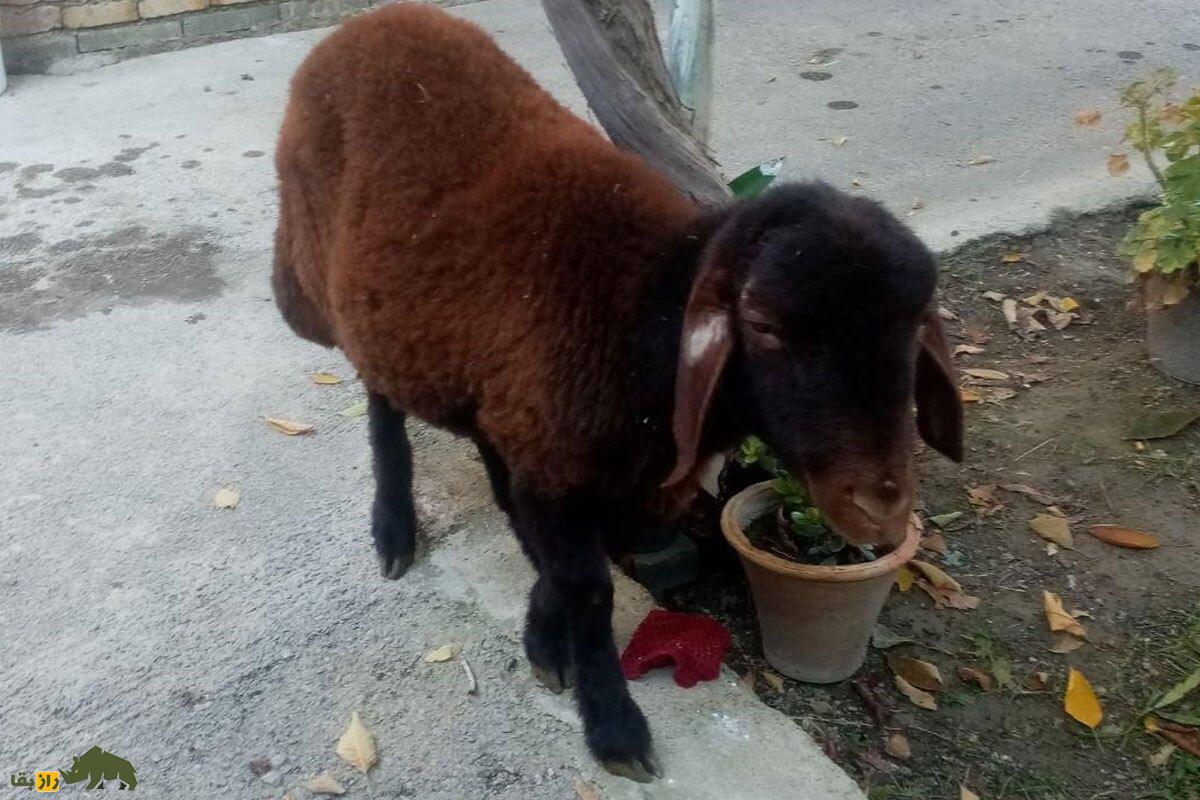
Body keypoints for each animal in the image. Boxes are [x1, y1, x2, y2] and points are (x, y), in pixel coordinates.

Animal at [274, 4, 964, 782]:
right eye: (762, 326)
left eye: (913, 325)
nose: (881, 503)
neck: (639, 315)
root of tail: (368, 21)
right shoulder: (557, 459)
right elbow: (588, 585)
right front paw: (612, 723)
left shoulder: (571, 454)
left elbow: (568, 562)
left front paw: (545, 639)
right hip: (350, 301)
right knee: (383, 408)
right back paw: (392, 529)